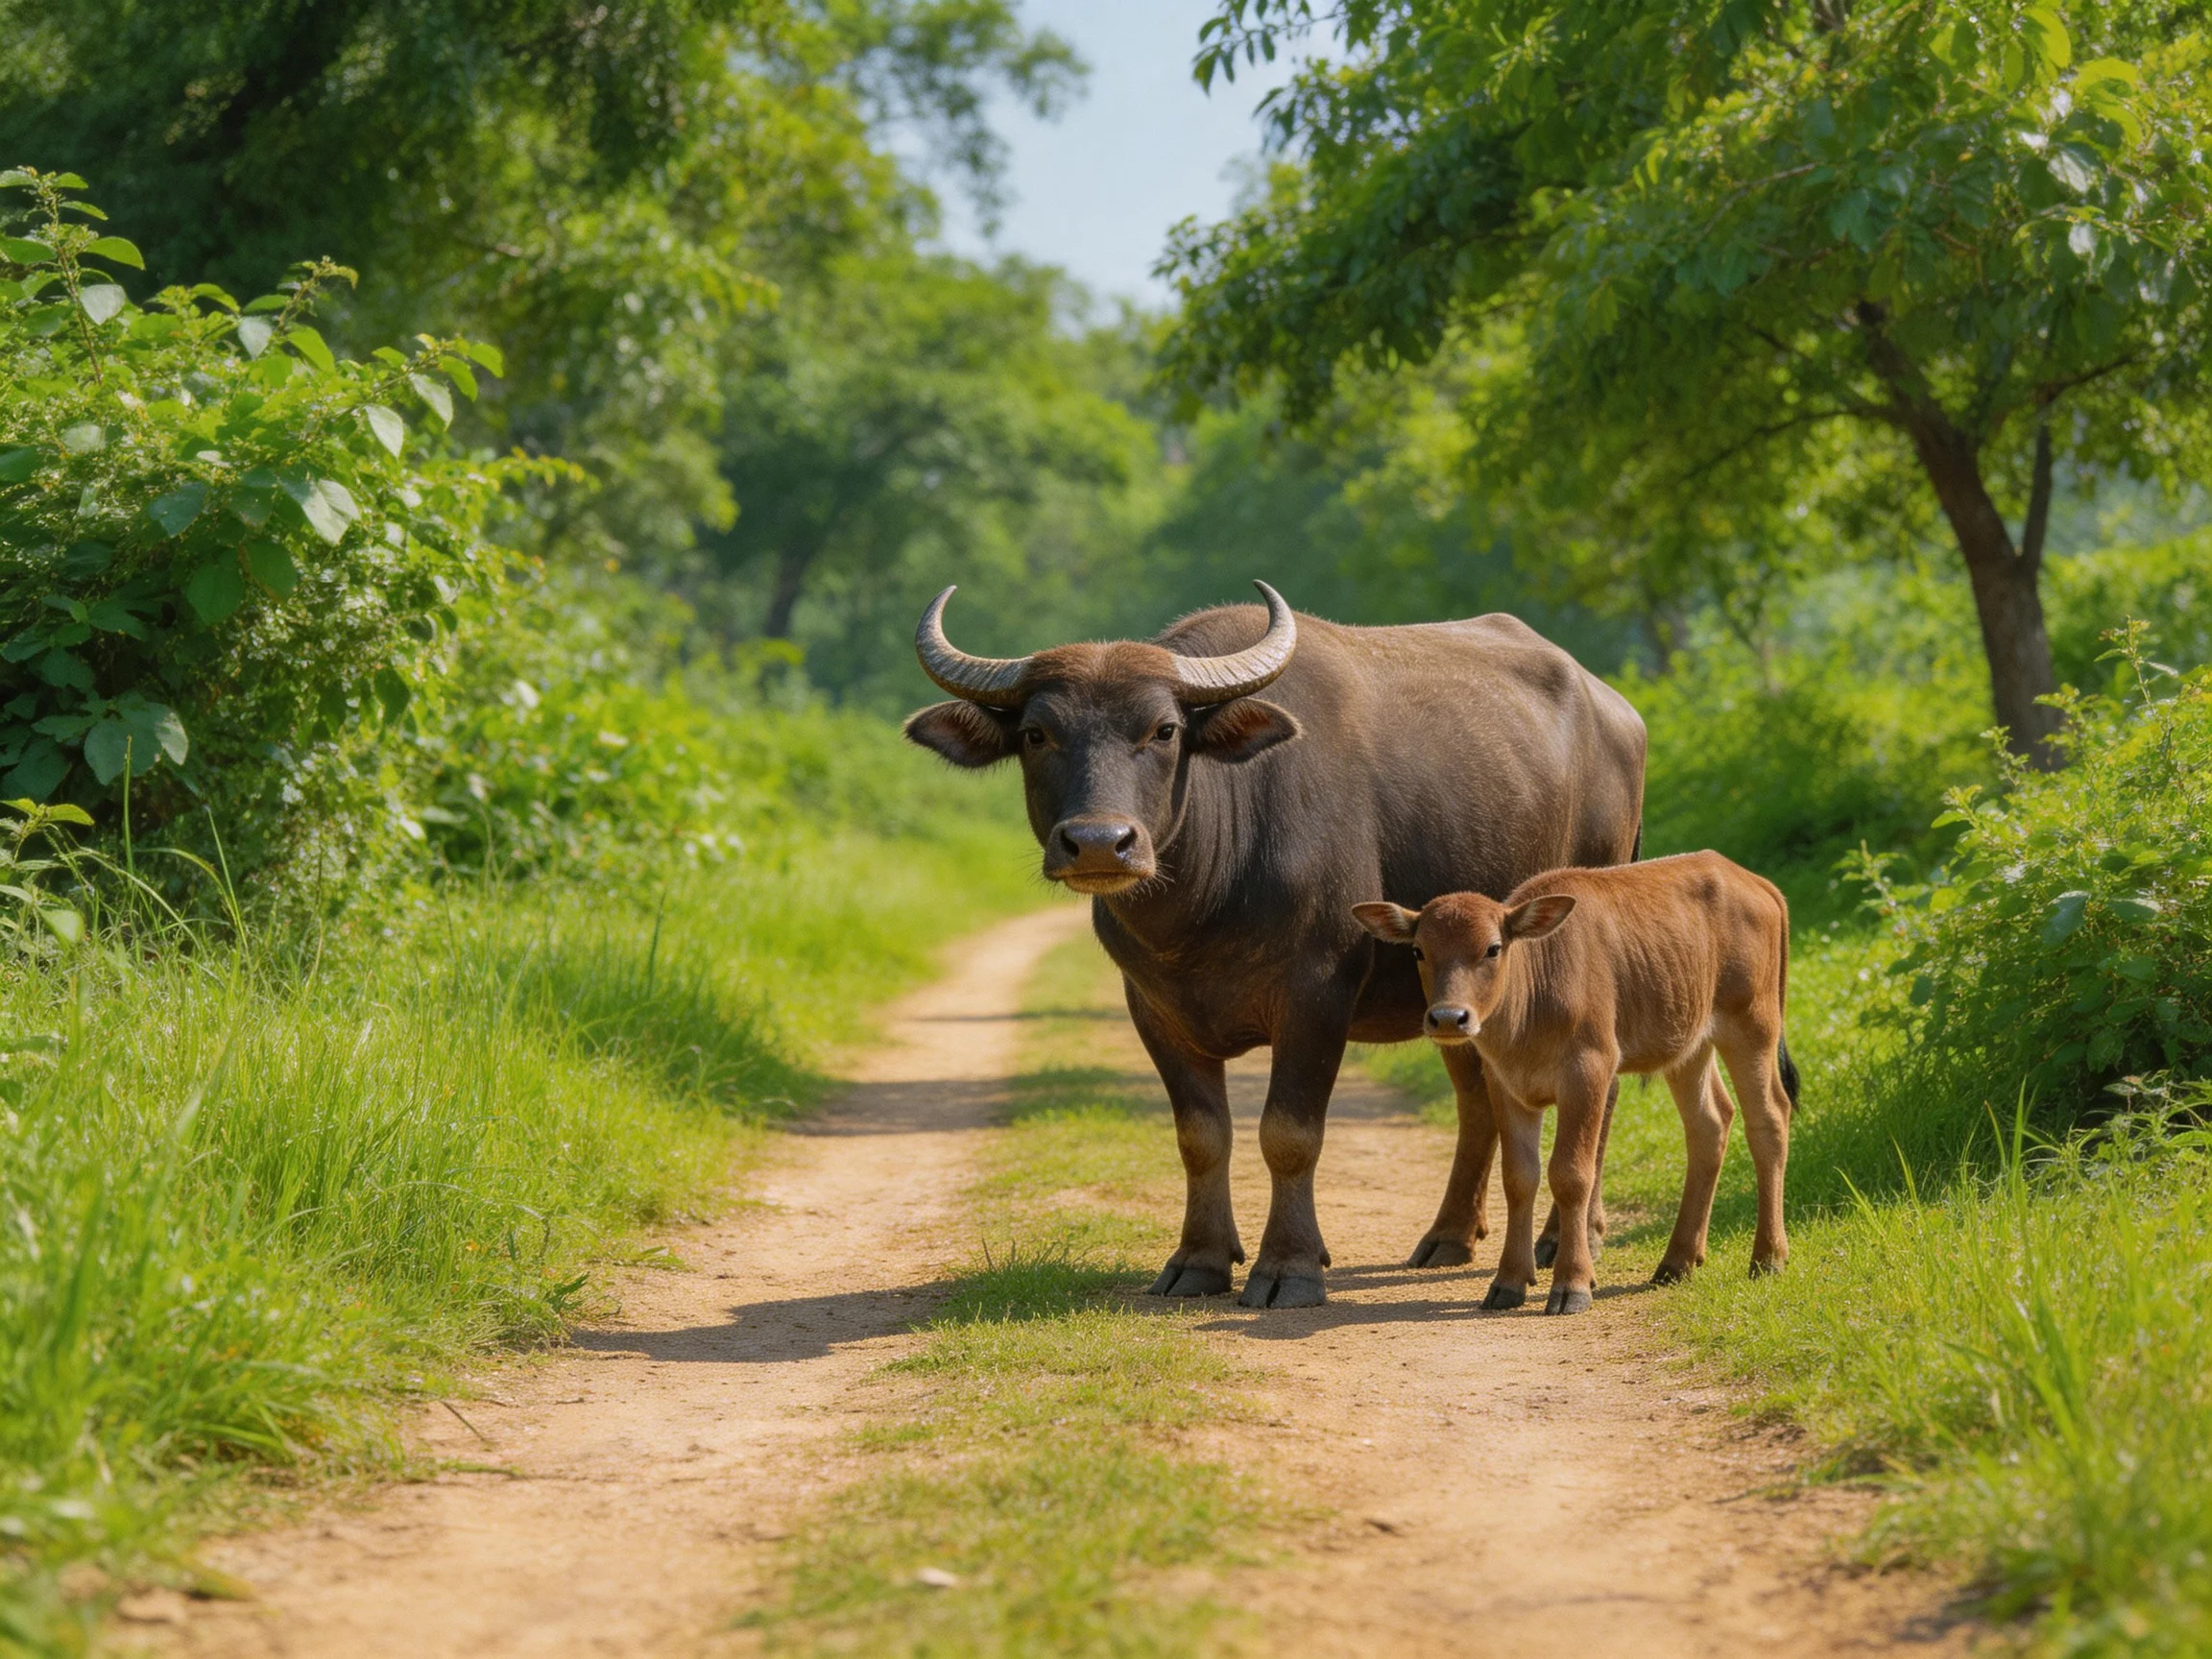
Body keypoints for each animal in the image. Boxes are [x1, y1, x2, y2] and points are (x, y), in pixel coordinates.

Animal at [903, 581, 1647, 1307]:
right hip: (1458, 995)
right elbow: (1201, 1137)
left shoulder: (1316, 995)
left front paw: (1289, 1267)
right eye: (1036, 733)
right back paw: (1449, 1236)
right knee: (1477, 1096)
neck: (1202, 907)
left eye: (1164, 730)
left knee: (1600, 1090)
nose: (1097, 842)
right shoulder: (1152, 1007)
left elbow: (1289, 1134)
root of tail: (1617, 711)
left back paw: (1567, 1237)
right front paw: (1199, 1260)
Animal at [1352, 850, 1798, 1314]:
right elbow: (1519, 1178)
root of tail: (1754, 882)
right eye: (1418, 950)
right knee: (1710, 1124)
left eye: (1493, 948)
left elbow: (1571, 1175)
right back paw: (1676, 1262)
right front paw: (1508, 1281)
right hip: (1689, 1043)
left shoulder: (1589, 1071)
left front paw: (1572, 1283)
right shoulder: (1505, 1084)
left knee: (1769, 1120)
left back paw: (1768, 1257)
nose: (1448, 1017)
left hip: (1753, 1025)